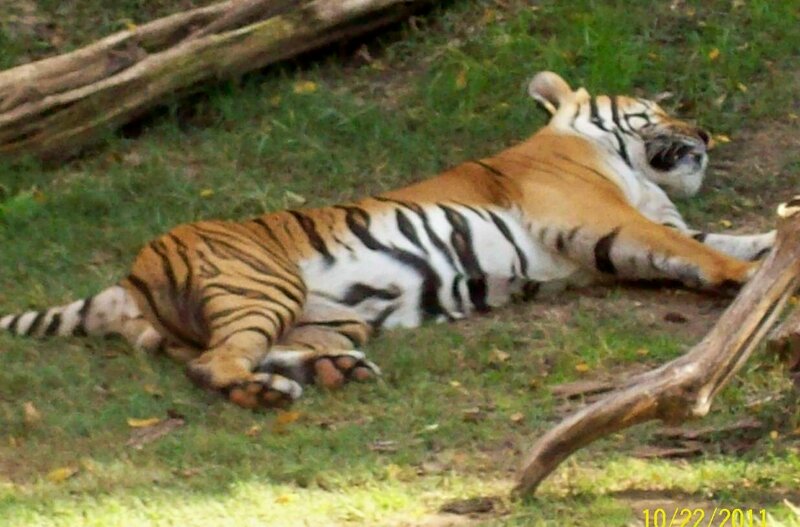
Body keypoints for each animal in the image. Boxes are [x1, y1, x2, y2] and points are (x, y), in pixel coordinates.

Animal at [1, 71, 776, 409]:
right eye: (652, 109)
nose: (706, 134)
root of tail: (128, 276)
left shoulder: (658, 226)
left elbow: (734, 238)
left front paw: (774, 244)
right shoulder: (604, 219)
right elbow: (705, 252)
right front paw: (745, 282)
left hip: (323, 315)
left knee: (244, 350)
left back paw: (333, 372)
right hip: (262, 283)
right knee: (211, 365)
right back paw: (272, 394)